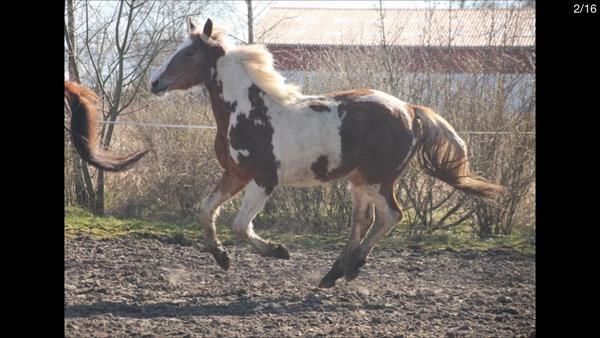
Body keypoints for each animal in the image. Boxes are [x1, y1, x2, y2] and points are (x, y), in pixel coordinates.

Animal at [149, 18, 502, 288]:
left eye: (189, 53)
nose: (155, 82)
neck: (249, 111)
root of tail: (409, 109)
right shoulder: (235, 175)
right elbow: (206, 210)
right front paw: (222, 258)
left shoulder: (264, 180)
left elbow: (240, 225)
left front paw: (279, 251)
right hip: (359, 181)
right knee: (363, 221)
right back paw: (333, 274)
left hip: (377, 179)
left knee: (390, 215)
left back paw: (353, 267)